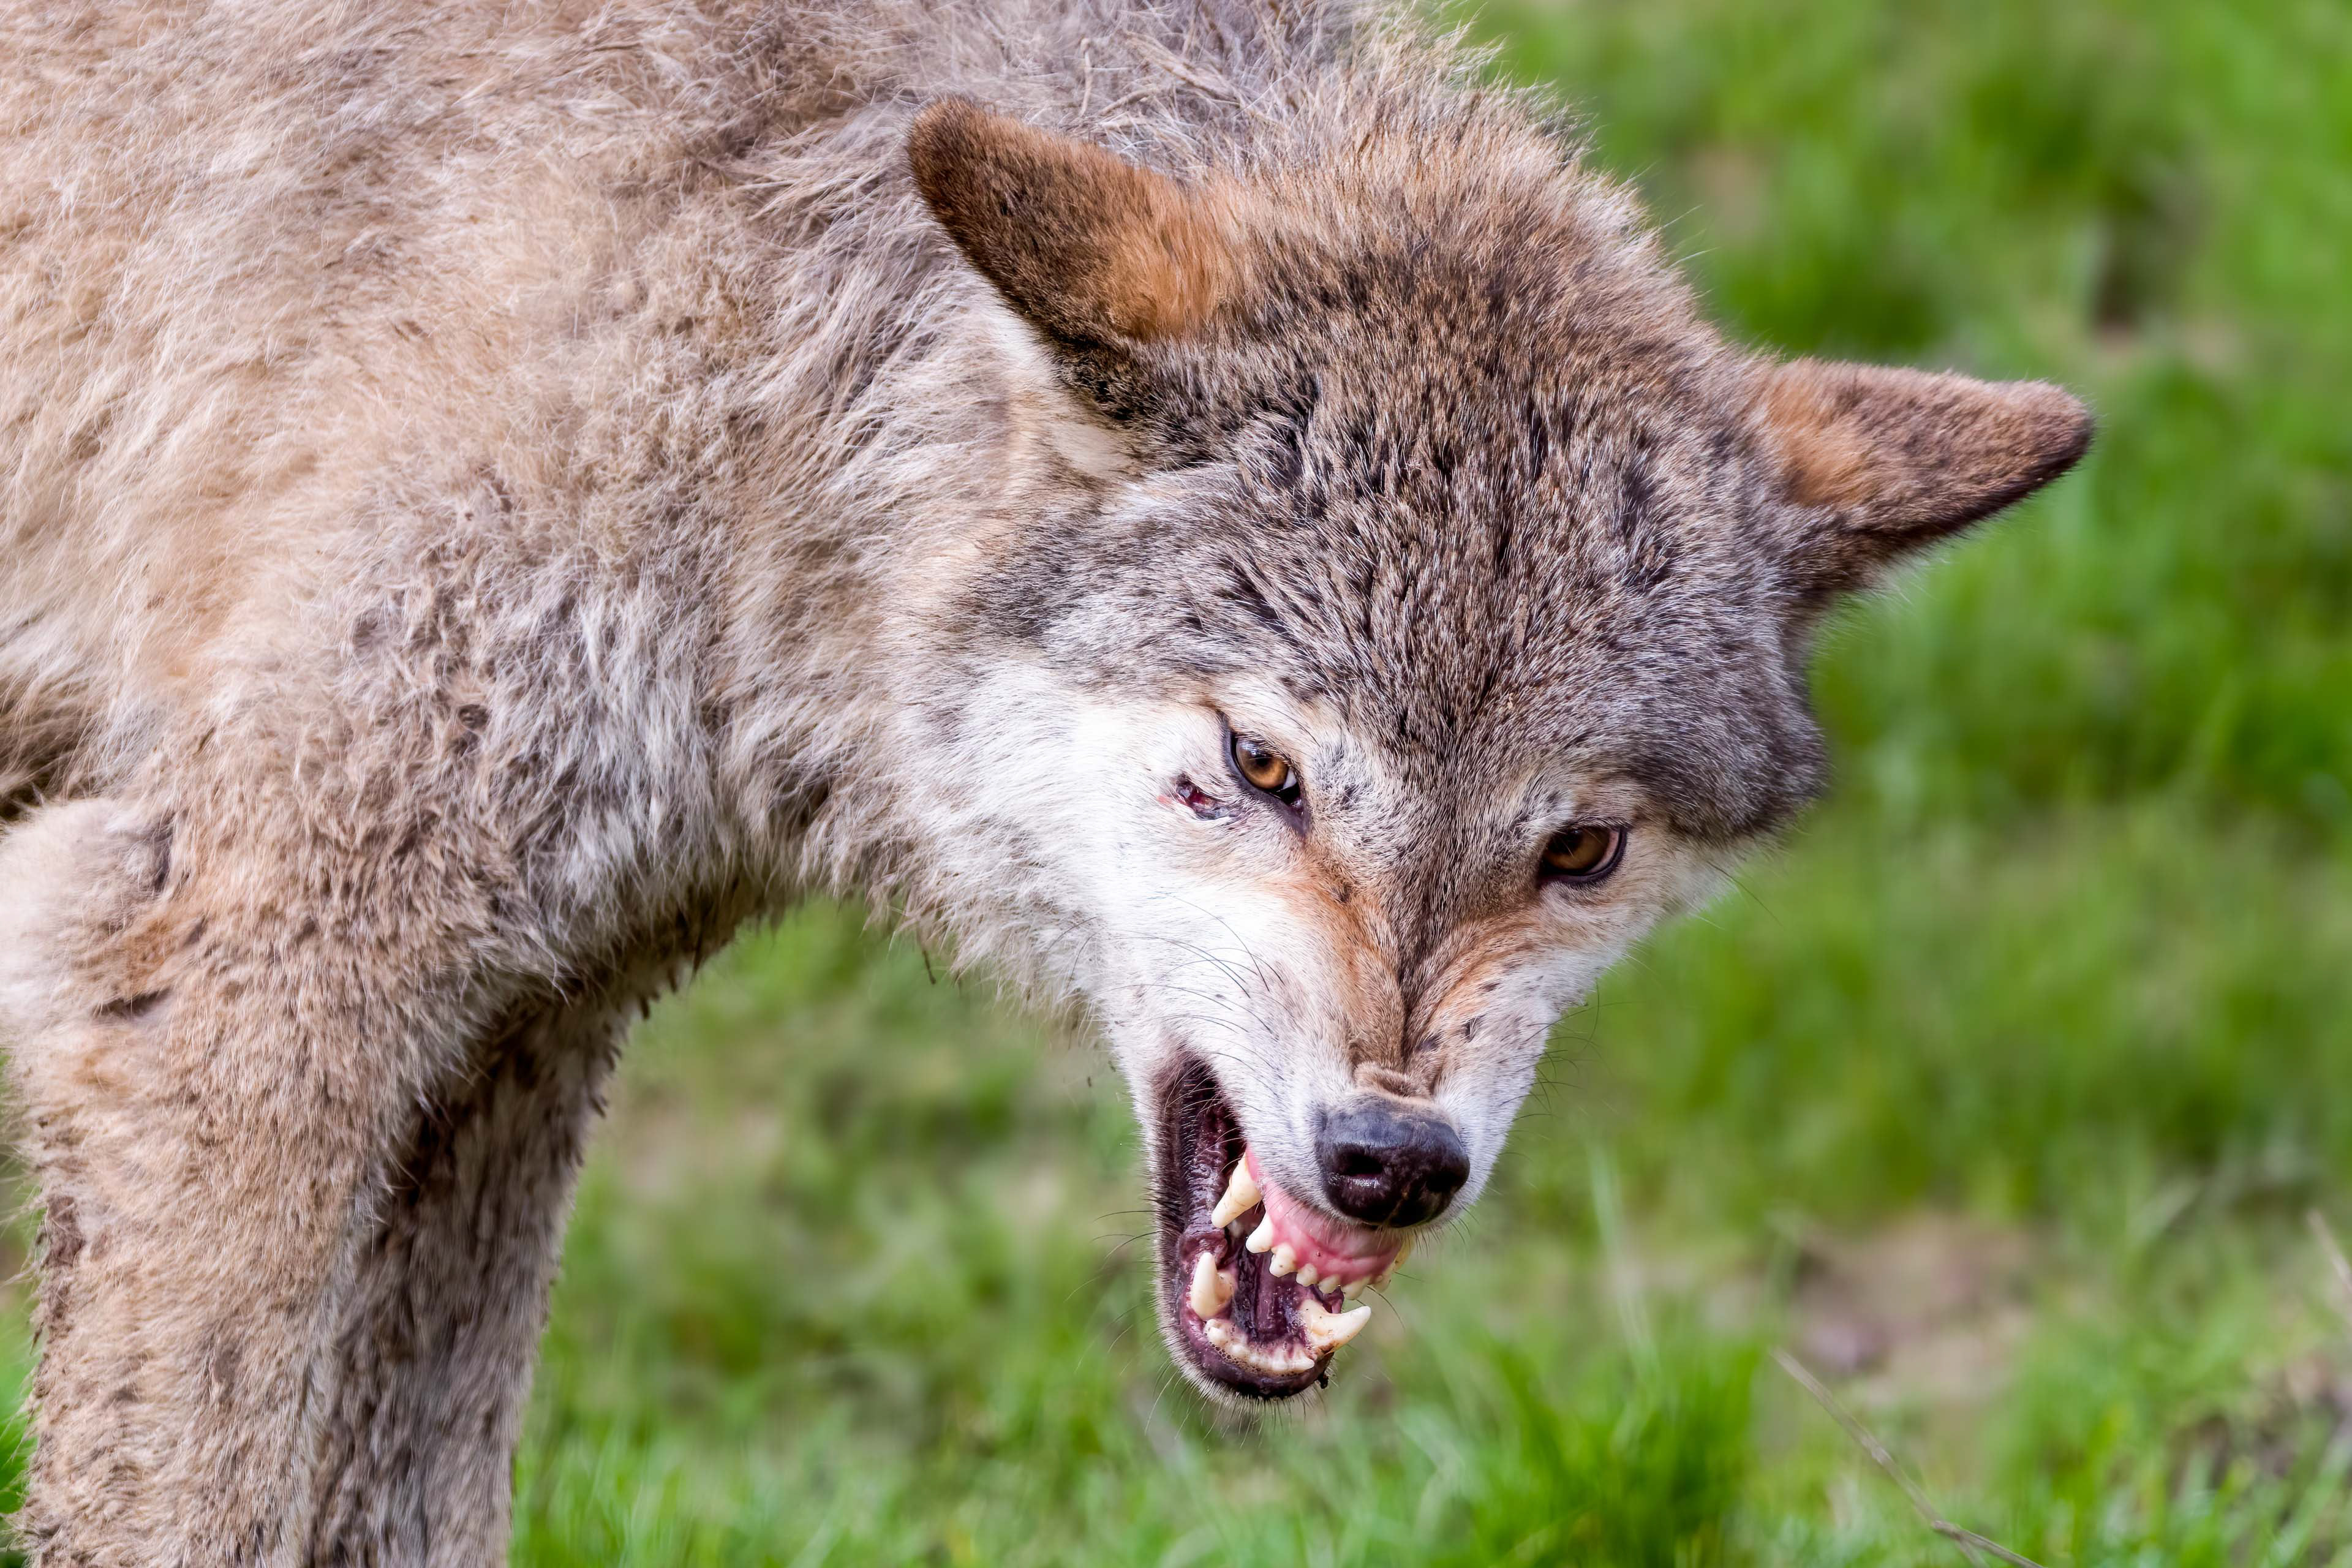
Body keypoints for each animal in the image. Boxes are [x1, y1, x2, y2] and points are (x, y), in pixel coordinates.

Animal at [0, 0, 2090, 1560]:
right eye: (1263, 764)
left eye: (1578, 846)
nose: (1392, 1161)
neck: (755, 326)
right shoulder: (221, 1006)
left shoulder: (521, 1033)